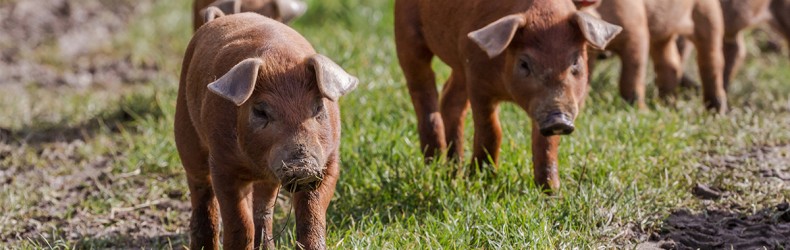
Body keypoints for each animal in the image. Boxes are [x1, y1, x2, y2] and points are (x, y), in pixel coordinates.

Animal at [176, 12, 358, 250]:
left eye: (318, 107)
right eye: (261, 111)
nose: (302, 165)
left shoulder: (329, 162)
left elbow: (312, 216)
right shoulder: (222, 163)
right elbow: (239, 222)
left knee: (263, 208)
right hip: (185, 130)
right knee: (201, 190)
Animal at [392, 0, 620, 192]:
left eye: (575, 62)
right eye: (524, 63)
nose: (558, 119)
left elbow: (546, 143)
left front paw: (551, 192)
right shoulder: (477, 80)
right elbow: (491, 129)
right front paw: (480, 180)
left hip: (459, 66)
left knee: (450, 99)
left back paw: (453, 169)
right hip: (406, 33)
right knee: (422, 90)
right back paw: (434, 163)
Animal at [580, 0, 732, 112]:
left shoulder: (637, 27)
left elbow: (631, 76)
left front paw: (640, 111)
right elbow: (586, 77)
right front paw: (582, 107)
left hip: (708, 12)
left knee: (712, 59)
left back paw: (718, 112)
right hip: (663, 35)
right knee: (670, 63)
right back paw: (667, 106)